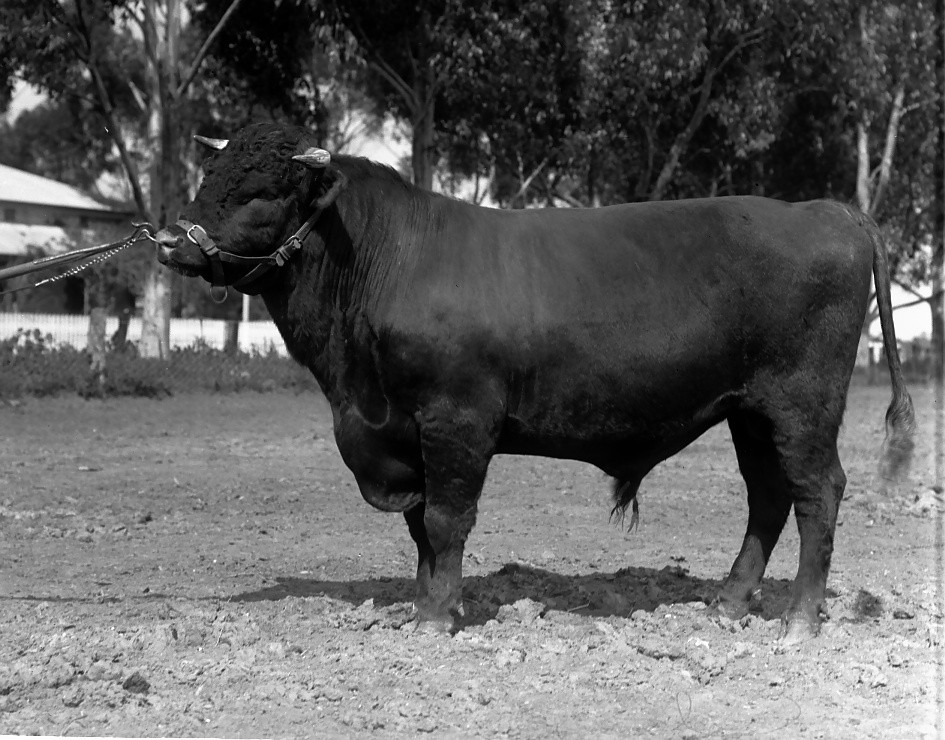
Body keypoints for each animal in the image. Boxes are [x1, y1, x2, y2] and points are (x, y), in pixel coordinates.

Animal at [156, 122, 915, 643]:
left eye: (261, 191)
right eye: (209, 177)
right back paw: (729, 603)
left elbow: (445, 518)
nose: (170, 243)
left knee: (818, 492)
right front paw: (427, 602)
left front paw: (436, 617)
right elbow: (419, 528)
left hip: (802, 402)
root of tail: (823, 209)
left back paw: (799, 618)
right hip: (749, 411)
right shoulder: (403, 432)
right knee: (768, 496)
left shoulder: (455, 419)